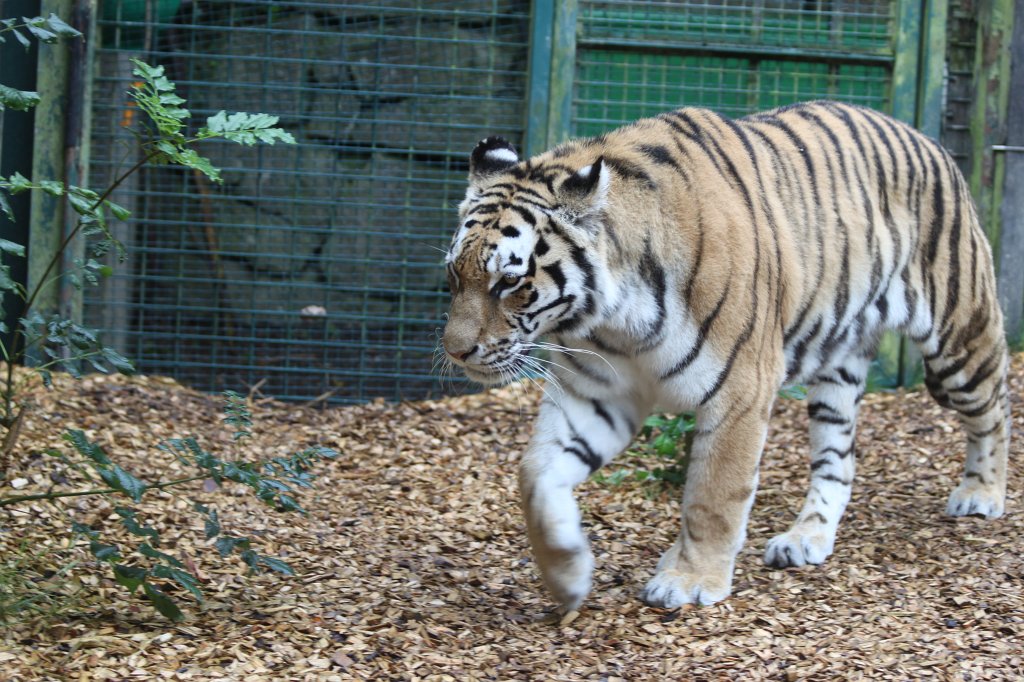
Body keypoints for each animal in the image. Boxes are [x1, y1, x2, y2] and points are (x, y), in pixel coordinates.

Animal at [440, 100, 1011, 612]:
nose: (455, 350)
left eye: (509, 282)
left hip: (960, 336)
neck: (615, 319)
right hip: (837, 369)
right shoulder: (595, 393)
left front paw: (689, 581)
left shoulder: (740, 388)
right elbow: (535, 475)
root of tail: (926, 139)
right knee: (838, 460)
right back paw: (805, 539)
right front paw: (566, 576)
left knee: (995, 407)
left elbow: (713, 494)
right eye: (454, 274)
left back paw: (982, 494)